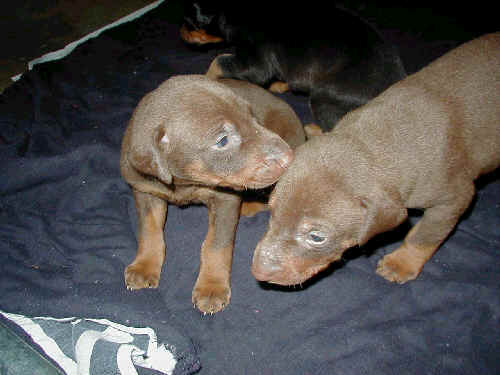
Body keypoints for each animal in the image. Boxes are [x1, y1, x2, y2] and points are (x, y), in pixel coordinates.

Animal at [120, 74, 304, 314]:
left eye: (252, 116)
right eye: (223, 140)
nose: (288, 157)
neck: (185, 182)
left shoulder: (225, 199)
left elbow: (216, 245)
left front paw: (212, 287)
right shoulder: (144, 189)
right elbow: (149, 230)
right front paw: (144, 265)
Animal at [180, 0, 406, 132]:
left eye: (189, 22)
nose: (180, 31)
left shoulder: (256, 64)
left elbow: (218, 61)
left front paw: (205, 79)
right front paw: (280, 84)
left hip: (324, 97)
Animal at [252, 34, 498, 288]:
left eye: (317, 237)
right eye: (272, 211)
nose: (259, 272)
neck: (379, 138)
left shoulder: (453, 199)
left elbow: (424, 235)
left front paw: (401, 263)